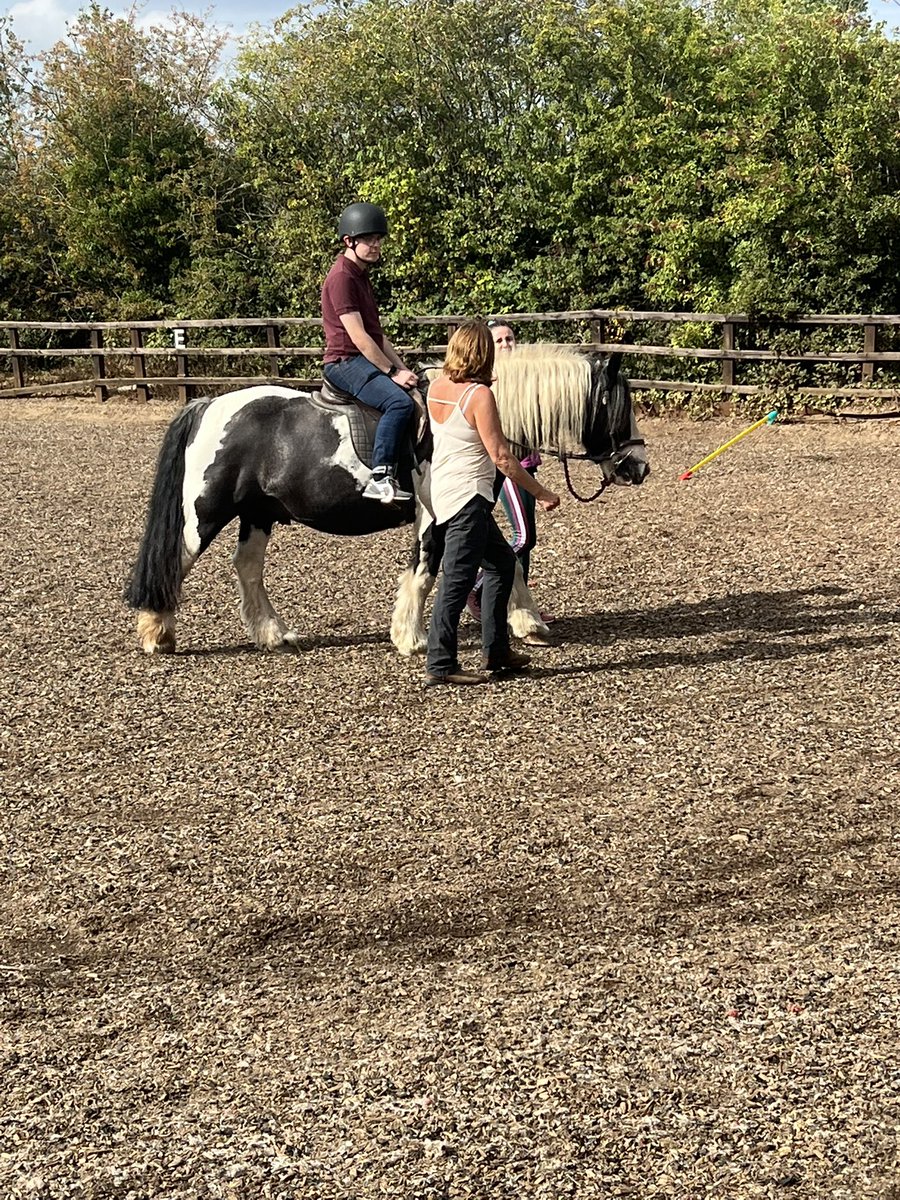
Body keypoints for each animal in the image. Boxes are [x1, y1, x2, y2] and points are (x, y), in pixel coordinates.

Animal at [125, 343, 648, 652]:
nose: (638, 467)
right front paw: (410, 636)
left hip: (258, 513)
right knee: (175, 561)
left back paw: (273, 635)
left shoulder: (473, 508)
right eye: (617, 407)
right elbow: (425, 569)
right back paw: (157, 633)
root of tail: (210, 404)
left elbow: (511, 562)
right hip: (205, 514)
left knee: (248, 569)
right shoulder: (435, 515)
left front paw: (528, 622)